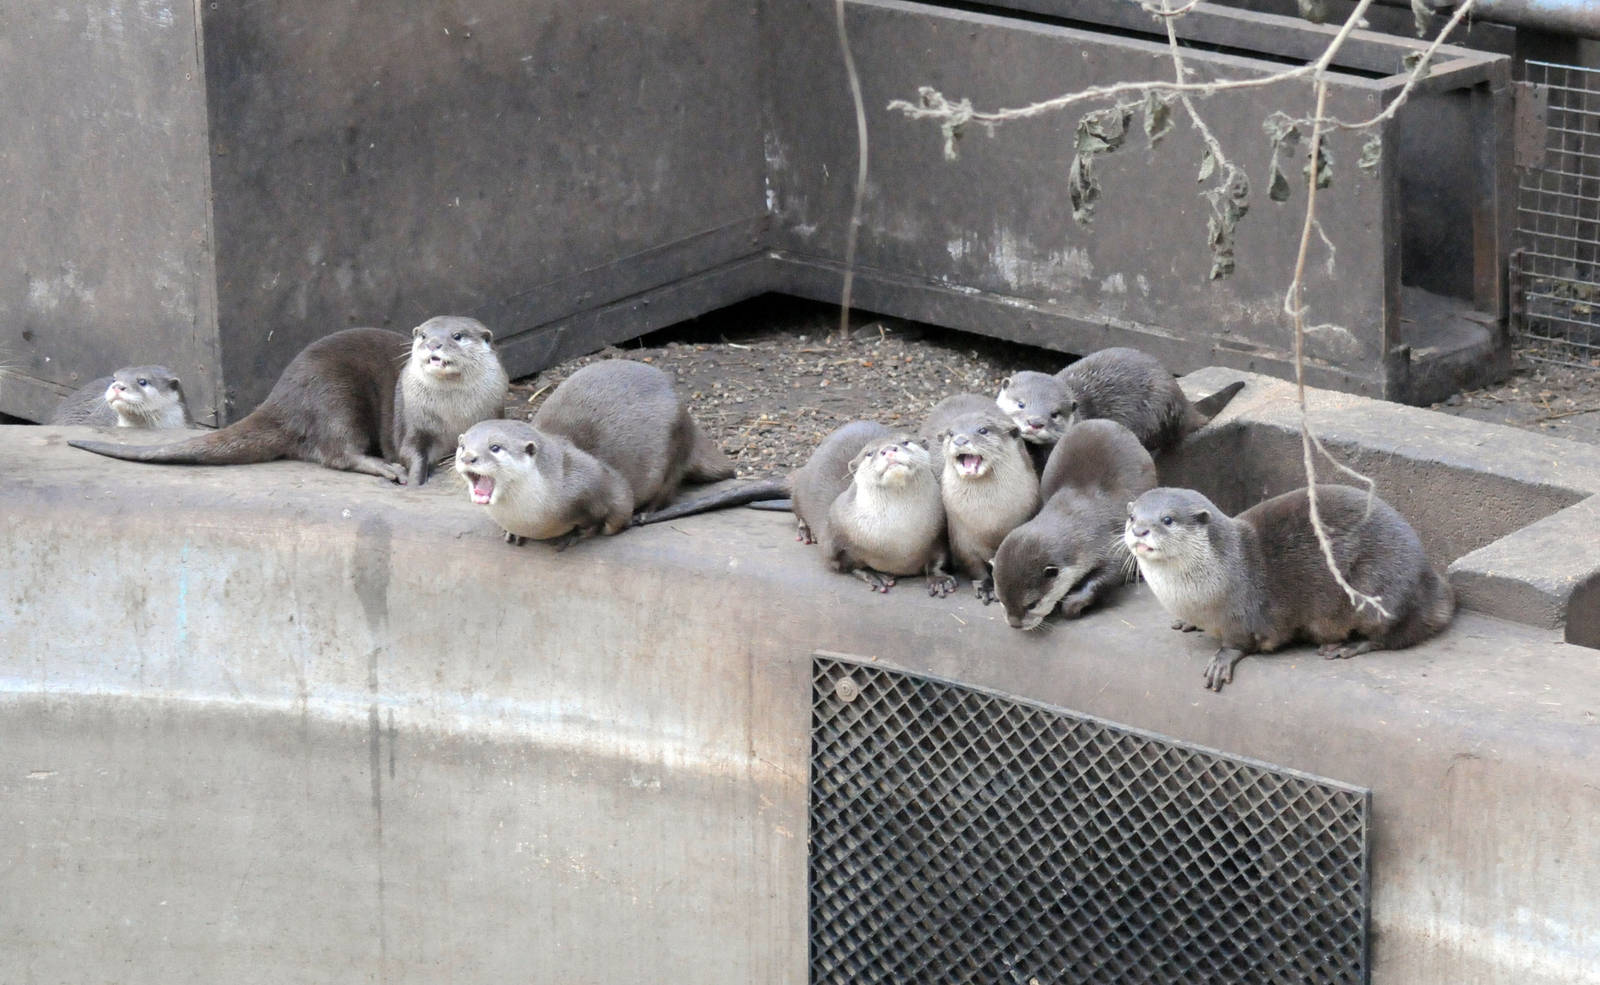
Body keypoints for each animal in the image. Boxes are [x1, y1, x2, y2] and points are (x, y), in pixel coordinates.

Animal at [68, 319, 507, 483]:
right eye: (424, 334)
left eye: (458, 336)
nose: (433, 345)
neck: (453, 414)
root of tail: (279, 399)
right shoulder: (411, 424)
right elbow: (410, 450)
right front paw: (413, 475)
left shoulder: (495, 408)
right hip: (334, 394)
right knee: (336, 452)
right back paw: (382, 468)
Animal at [455, 419, 632, 548]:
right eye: (462, 446)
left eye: (495, 447)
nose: (467, 457)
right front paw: (514, 533)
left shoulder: (595, 478)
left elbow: (619, 507)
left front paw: (573, 535)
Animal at [934, 407, 1040, 600]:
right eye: (951, 433)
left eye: (982, 430)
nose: (960, 439)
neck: (989, 521)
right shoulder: (962, 538)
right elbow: (974, 566)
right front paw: (986, 586)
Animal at [992, 420, 1156, 629]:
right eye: (1001, 599)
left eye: (1032, 604)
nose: (1015, 624)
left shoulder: (1109, 544)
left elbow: (1109, 575)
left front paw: (1073, 603)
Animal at [1124, 484, 1455, 691]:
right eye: (1132, 516)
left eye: (1167, 519)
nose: (1140, 529)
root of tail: (1433, 587)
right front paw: (1186, 623)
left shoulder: (1243, 615)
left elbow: (1240, 643)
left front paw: (1222, 659)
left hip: (1377, 587)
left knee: (1392, 635)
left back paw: (1346, 646)